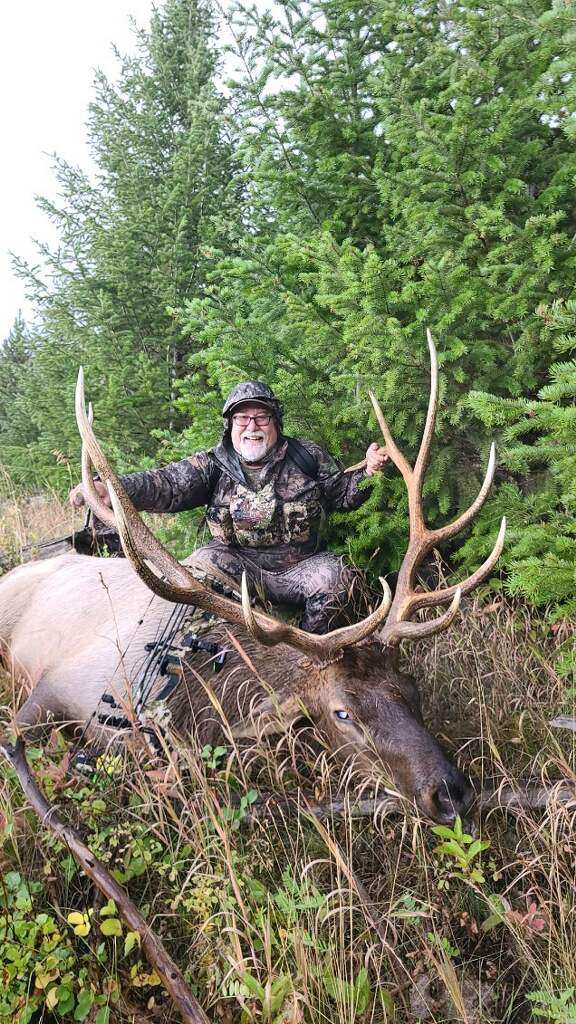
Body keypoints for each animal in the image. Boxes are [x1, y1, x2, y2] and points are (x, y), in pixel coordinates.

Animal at [0, 332, 505, 825]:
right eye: (342, 712)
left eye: (411, 689)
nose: (450, 794)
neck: (194, 701)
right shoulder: (57, 684)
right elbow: (17, 742)